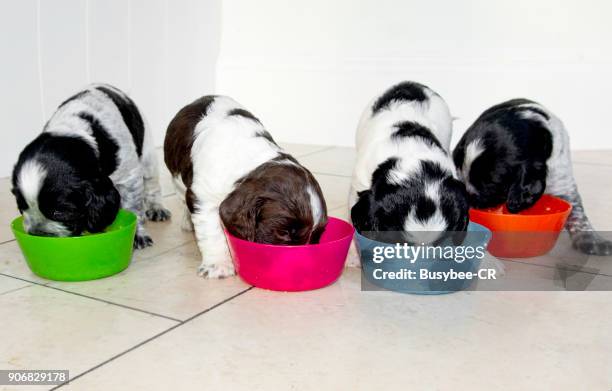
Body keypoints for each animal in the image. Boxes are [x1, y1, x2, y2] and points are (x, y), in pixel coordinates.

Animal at [11, 83, 170, 248]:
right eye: (21, 207)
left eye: (59, 212)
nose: (37, 233)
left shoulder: (129, 178)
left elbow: (133, 207)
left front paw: (137, 234)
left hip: (148, 156)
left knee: (152, 185)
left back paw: (157, 208)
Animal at [161, 95, 326, 278]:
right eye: (282, 233)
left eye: (316, 236)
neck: (251, 162)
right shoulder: (204, 197)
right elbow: (212, 232)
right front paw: (218, 265)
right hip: (176, 179)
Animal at [454, 99, 612, 256]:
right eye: (461, 176)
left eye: (491, 183)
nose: (470, 202)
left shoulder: (563, 181)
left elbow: (577, 212)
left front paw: (592, 240)